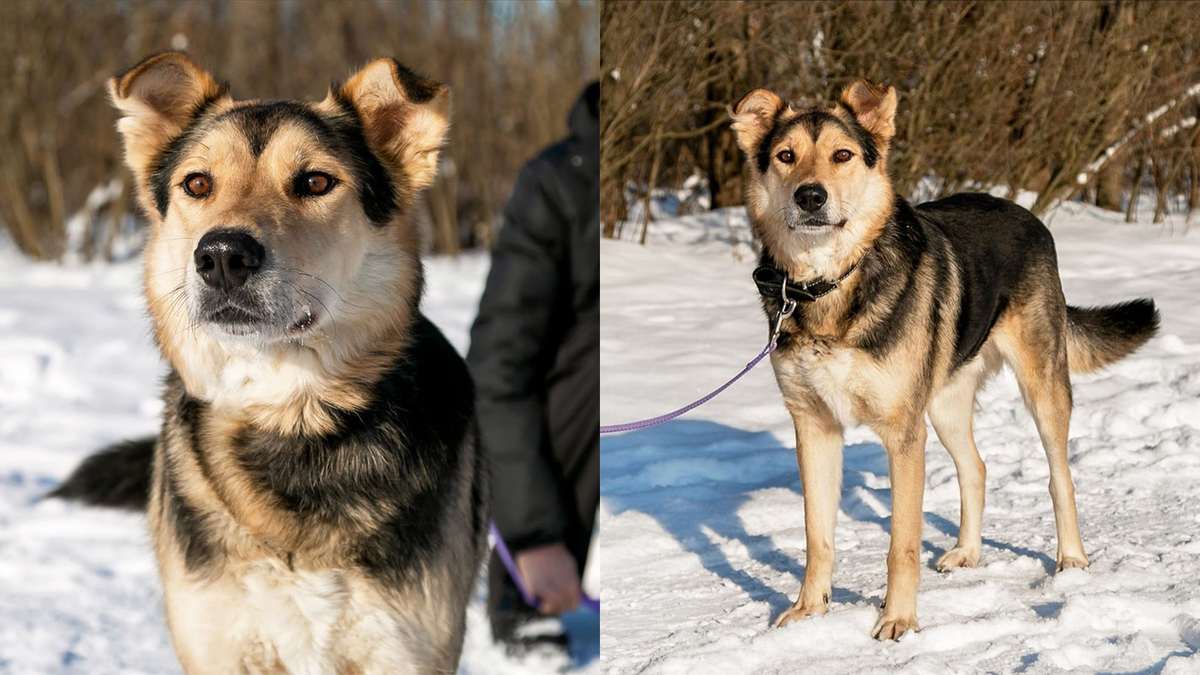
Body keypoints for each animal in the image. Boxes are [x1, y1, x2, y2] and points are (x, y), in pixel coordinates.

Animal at [46, 53, 487, 672]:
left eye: (316, 182)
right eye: (198, 184)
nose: (222, 256)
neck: (290, 415)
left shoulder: (406, 646)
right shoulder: (217, 642)